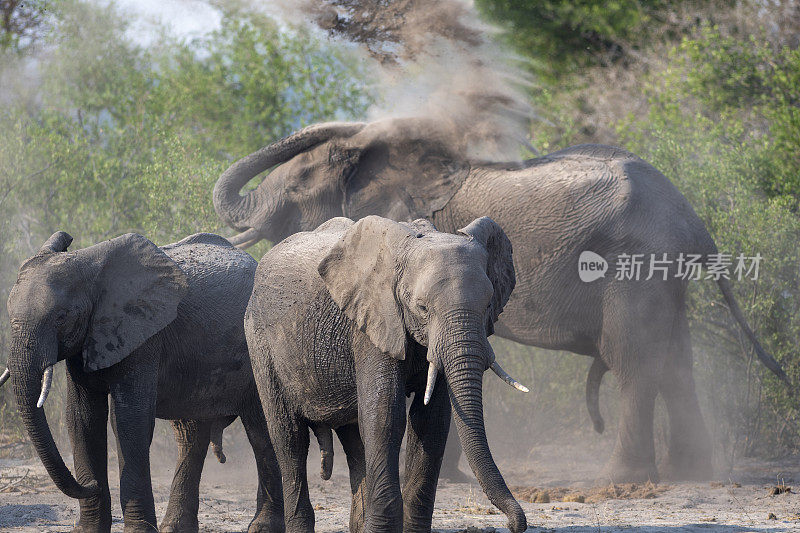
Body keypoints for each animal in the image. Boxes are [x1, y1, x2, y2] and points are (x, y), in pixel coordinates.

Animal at [0, 231, 284, 532]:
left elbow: (129, 420)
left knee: (262, 431)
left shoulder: (144, 334)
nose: (90, 484)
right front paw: (88, 528)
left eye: (61, 317)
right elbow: (82, 419)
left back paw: (263, 526)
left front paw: (137, 529)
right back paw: (175, 527)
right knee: (190, 437)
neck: (89, 266)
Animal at [209, 117, 792, 482]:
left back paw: (619, 480)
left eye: (299, 187)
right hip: (663, 275)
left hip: (637, 269)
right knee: (676, 360)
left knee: (634, 360)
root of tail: (695, 223)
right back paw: (687, 474)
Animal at [247, 215, 528, 532]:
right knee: (289, 438)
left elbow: (431, 421)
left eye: (489, 305)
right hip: (259, 342)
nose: (515, 525)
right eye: (422, 307)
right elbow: (385, 415)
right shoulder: (372, 321)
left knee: (355, 439)